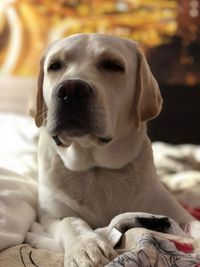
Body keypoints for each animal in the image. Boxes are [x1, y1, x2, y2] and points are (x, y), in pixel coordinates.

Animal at [26, 34, 200, 267]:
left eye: (113, 65)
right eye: (55, 65)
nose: (71, 89)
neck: (96, 169)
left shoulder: (177, 213)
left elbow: (194, 225)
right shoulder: (49, 216)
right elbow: (71, 220)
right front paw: (87, 245)